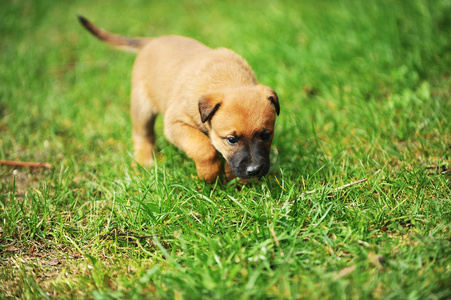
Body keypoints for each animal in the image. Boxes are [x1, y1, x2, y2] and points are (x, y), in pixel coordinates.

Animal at [79, 16, 280, 183]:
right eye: (231, 139)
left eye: (266, 135)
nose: (254, 170)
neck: (228, 79)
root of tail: (152, 41)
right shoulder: (176, 124)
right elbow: (203, 148)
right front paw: (209, 175)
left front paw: (234, 179)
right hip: (141, 105)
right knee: (142, 134)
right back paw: (144, 161)